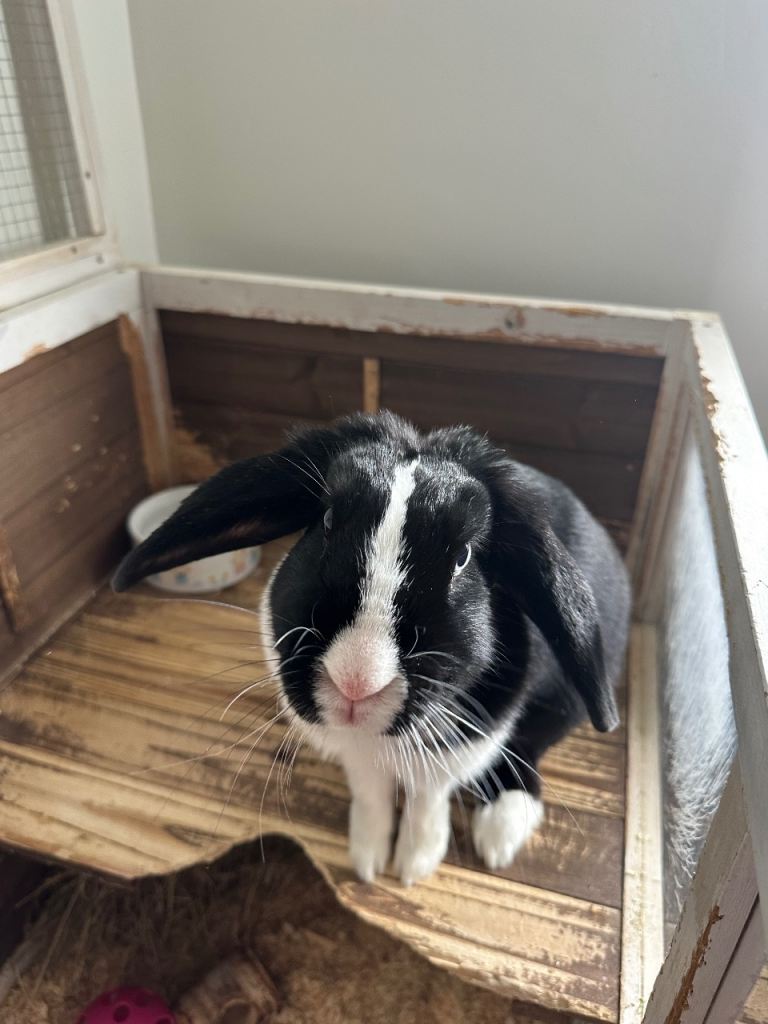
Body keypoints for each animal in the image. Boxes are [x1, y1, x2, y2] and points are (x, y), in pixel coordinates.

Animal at [114, 411, 630, 885]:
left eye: (463, 557)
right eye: (324, 522)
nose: (355, 681)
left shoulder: (470, 736)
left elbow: (428, 794)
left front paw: (413, 867)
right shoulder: (354, 751)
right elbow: (371, 791)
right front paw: (368, 860)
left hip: (562, 701)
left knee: (528, 748)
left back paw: (500, 834)